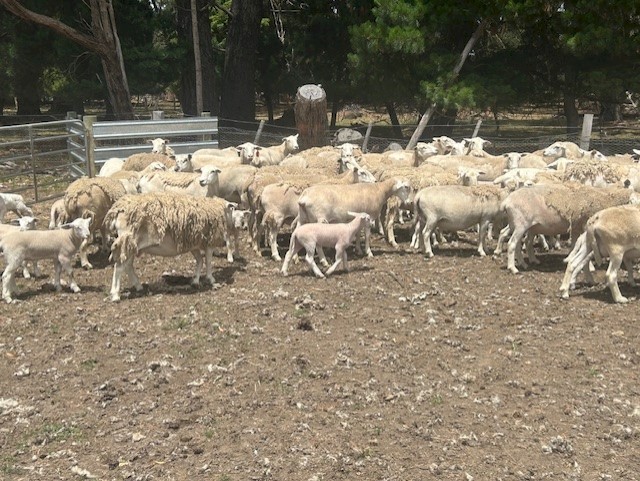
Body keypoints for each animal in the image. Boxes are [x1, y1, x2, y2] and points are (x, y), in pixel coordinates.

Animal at [104, 192, 237, 301]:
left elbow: (200, 261)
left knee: (128, 266)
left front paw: (195, 281)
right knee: (119, 267)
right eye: (232, 210)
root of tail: (118, 209)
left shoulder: (193, 245)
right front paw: (211, 279)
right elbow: (208, 261)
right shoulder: (209, 242)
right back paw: (115, 295)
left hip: (131, 245)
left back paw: (138, 286)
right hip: (128, 241)